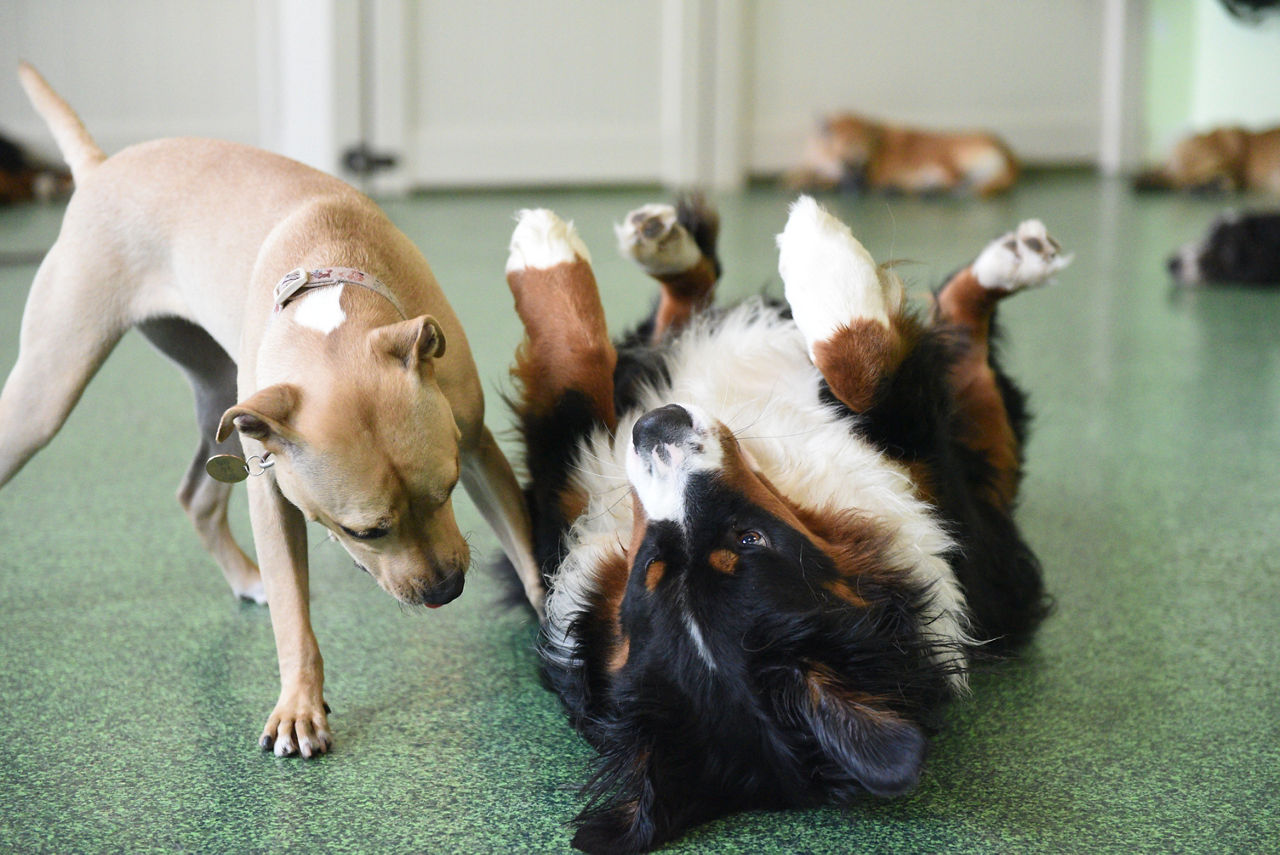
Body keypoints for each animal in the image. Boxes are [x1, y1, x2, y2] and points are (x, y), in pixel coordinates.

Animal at [0, 68, 542, 762]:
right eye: (366, 531)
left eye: (446, 491)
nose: (447, 590)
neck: (330, 294)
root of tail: (99, 169)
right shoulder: (273, 496)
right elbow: (293, 613)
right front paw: (299, 705)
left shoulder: (475, 447)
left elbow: (529, 554)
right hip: (49, 396)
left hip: (218, 403)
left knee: (197, 498)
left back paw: (242, 578)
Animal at [783, 110, 1013, 195]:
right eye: (847, 161)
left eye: (864, 164)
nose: (860, 186)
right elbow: (800, 171)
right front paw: (796, 177)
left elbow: (825, 179)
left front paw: (810, 182)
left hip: (944, 156)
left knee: (953, 180)